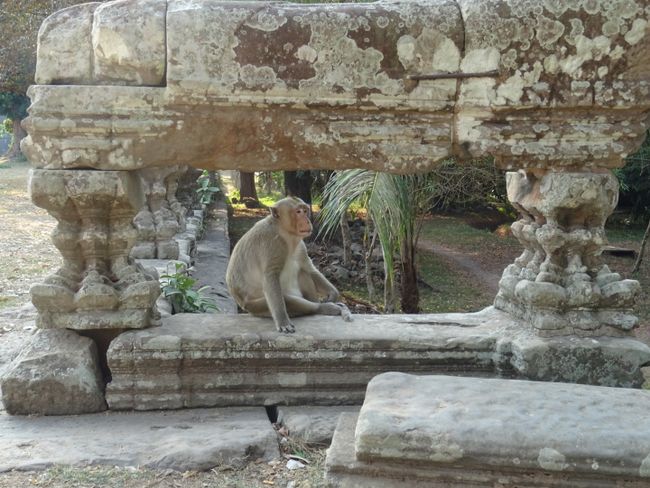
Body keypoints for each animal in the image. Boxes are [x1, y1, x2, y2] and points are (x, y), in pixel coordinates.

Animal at [225, 196, 352, 334]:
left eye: (305, 210)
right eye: (298, 212)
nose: (307, 221)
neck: (285, 233)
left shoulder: (300, 246)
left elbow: (309, 268)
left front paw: (333, 293)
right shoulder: (272, 244)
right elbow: (270, 277)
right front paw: (283, 321)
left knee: (303, 273)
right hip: (254, 307)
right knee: (287, 299)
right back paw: (321, 308)